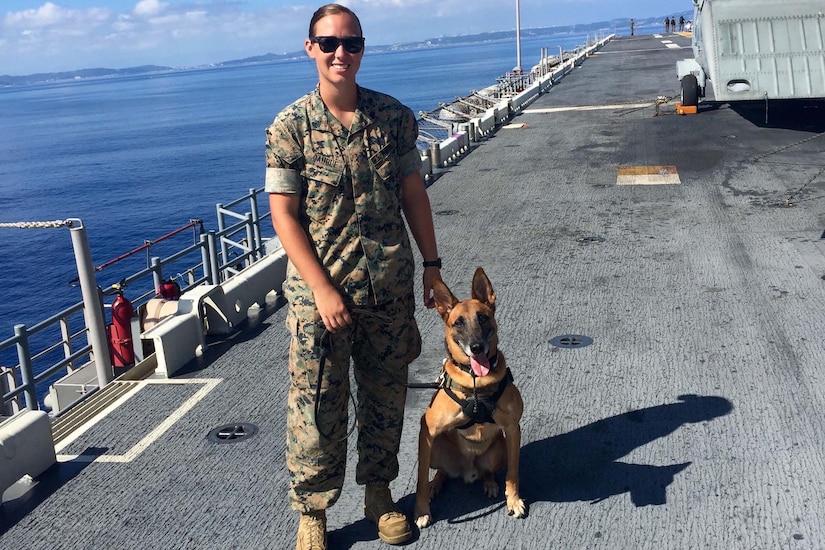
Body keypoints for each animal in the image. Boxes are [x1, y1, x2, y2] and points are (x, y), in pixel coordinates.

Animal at [412, 268, 528, 532]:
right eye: (458, 323)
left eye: (483, 318)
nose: (476, 348)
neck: (477, 385)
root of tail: (468, 471)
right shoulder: (428, 430)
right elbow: (420, 479)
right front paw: (422, 511)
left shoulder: (512, 429)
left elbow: (513, 472)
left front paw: (513, 500)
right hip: (435, 449)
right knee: (440, 471)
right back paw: (437, 484)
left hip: (499, 450)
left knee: (489, 471)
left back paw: (489, 482)